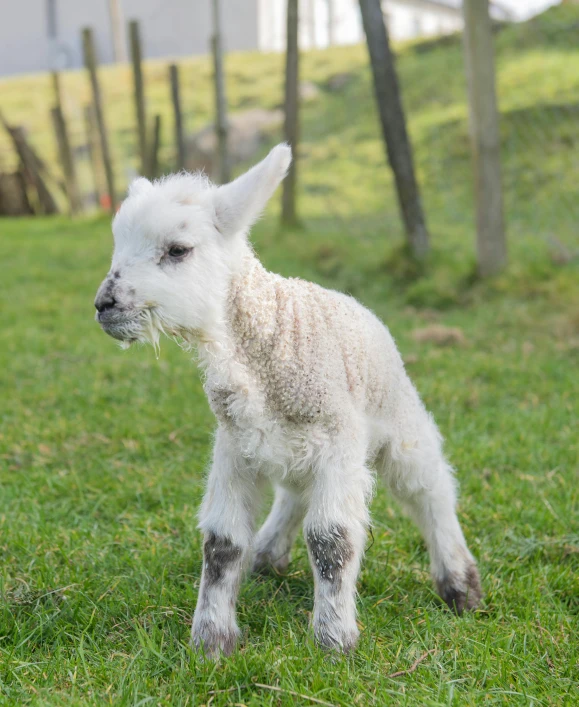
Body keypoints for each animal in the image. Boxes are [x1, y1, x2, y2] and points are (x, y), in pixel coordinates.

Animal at [95, 144, 482, 660]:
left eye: (178, 250)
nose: (104, 304)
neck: (263, 345)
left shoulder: (338, 442)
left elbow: (331, 540)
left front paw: (334, 640)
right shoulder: (235, 446)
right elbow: (222, 542)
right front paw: (211, 642)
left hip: (396, 415)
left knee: (430, 486)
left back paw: (460, 584)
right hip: (291, 446)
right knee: (296, 493)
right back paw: (268, 555)